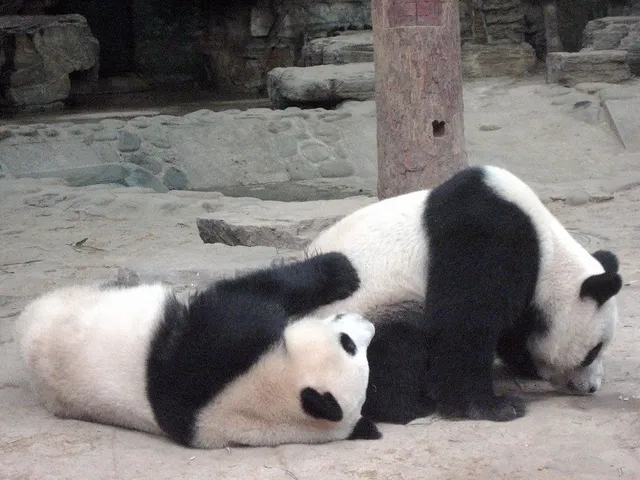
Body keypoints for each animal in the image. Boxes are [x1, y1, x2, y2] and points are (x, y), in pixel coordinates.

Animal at [305, 165, 623, 424]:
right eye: (592, 351)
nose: (591, 387)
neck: (548, 251)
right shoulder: (485, 237)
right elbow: (462, 325)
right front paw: (493, 406)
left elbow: (512, 329)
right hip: (357, 320)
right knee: (398, 343)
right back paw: (409, 407)